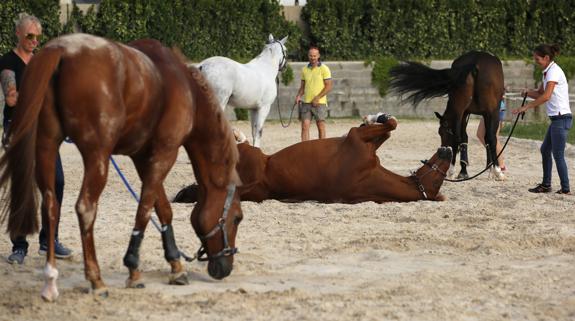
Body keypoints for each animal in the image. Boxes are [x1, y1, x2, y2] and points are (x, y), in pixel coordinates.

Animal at [0, 34, 243, 300]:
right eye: (237, 218)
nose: (226, 266)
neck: (184, 87)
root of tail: (61, 49)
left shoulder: (143, 158)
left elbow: (162, 207)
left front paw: (175, 265)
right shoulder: (165, 153)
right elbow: (145, 208)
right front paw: (133, 267)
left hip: (46, 146)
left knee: (51, 206)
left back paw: (50, 280)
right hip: (97, 157)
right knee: (86, 208)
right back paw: (96, 280)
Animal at [173, 115, 452, 202]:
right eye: (438, 173)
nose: (447, 149)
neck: (366, 177)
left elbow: (389, 127)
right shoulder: (358, 139)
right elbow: (389, 126)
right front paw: (377, 117)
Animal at [390, 51, 506, 179]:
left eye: (441, 132)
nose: (442, 151)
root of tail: (474, 62)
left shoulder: (465, 112)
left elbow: (464, 138)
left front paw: (464, 171)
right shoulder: (485, 113)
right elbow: (486, 138)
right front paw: (492, 170)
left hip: (460, 109)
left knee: (458, 137)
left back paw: (452, 170)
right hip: (491, 111)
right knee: (490, 137)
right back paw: (498, 171)